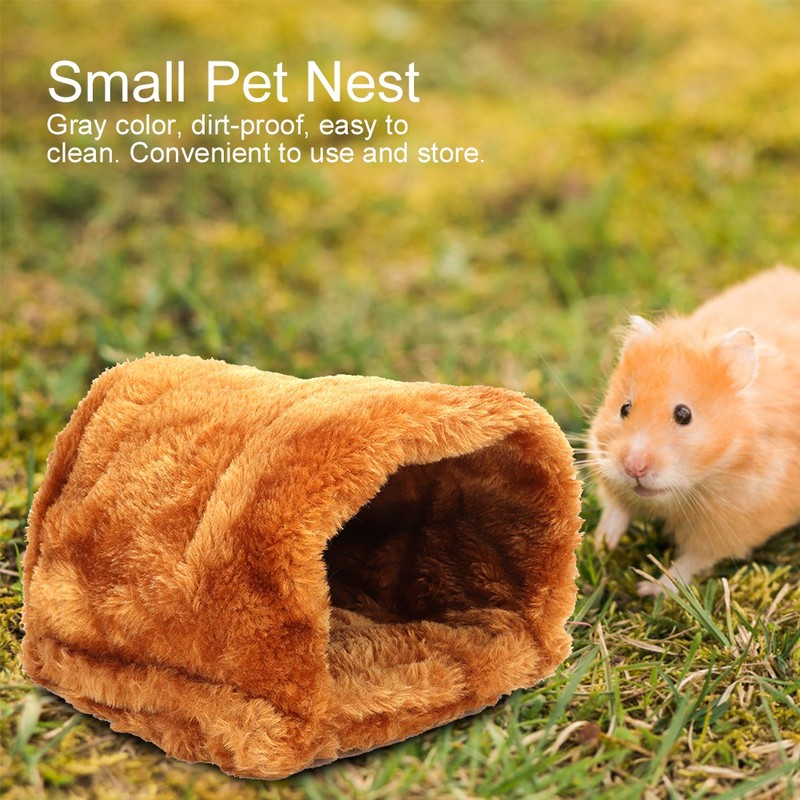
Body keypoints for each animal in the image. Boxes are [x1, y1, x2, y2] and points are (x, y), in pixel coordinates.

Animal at [588, 265, 800, 596]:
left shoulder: (733, 522)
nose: (633, 467)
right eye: (624, 408)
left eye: (683, 415)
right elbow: (616, 508)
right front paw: (601, 545)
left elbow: (689, 562)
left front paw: (649, 589)